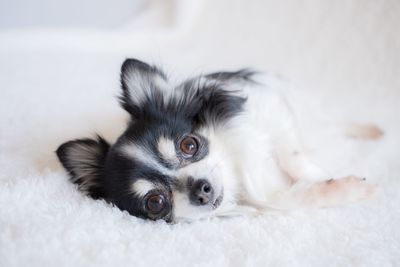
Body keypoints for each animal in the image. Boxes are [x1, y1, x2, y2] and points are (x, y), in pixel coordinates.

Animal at [55, 59, 376, 224]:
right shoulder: (271, 202)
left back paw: (371, 130)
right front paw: (344, 187)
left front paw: (320, 173)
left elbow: (293, 156)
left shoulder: (270, 108)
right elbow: (297, 197)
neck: (237, 181)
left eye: (189, 145)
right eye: (155, 202)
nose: (202, 189)